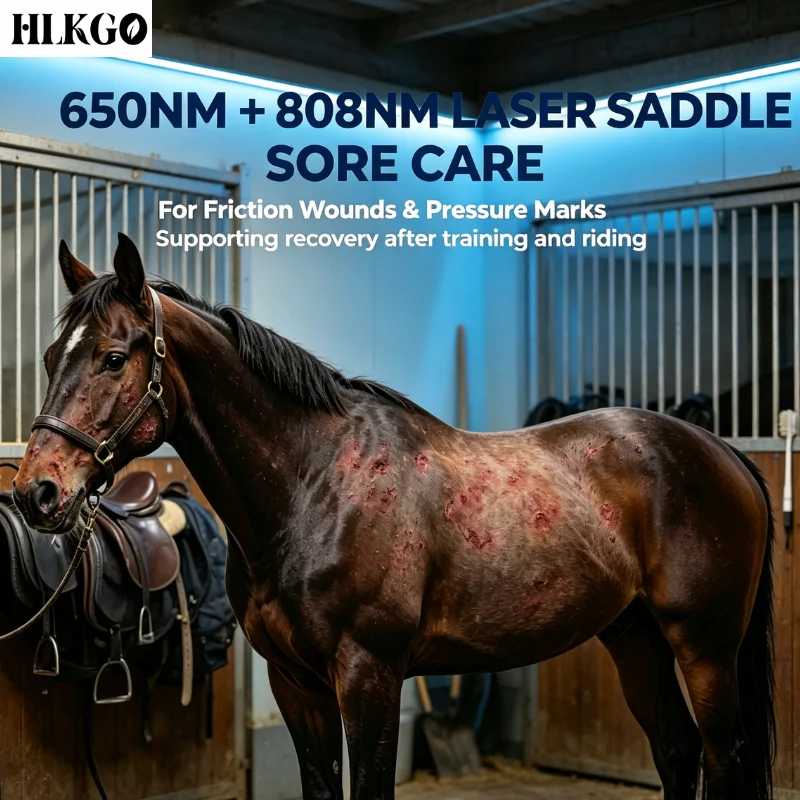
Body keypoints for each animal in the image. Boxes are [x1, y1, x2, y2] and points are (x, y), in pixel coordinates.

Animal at [12, 233, 775, 800]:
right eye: (51, 357)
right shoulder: (297, 685)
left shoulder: (370, 677)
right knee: (676, 752)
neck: (315, 486)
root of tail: (725, 454)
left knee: (723, 758)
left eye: (113, 359)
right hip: (636, 638)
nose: (35, 492)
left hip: (704, 647)